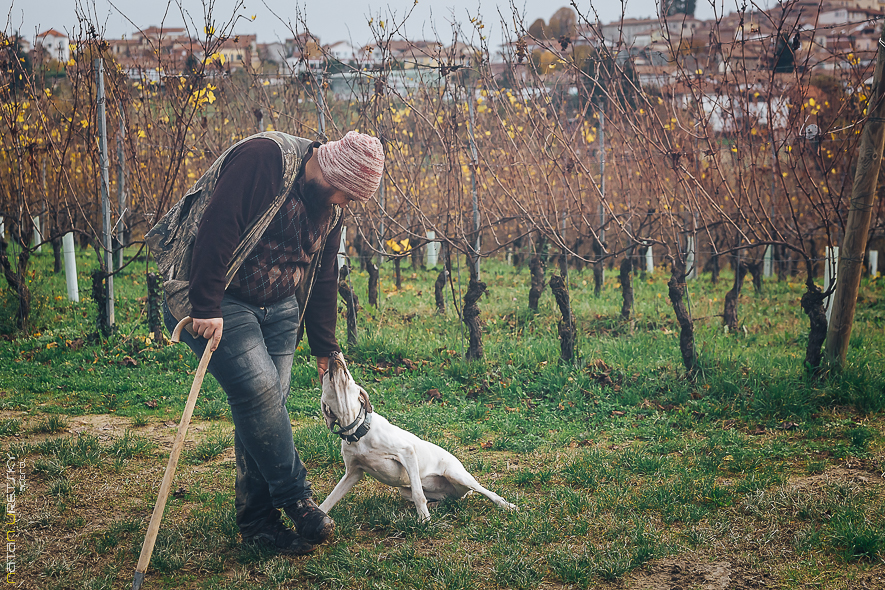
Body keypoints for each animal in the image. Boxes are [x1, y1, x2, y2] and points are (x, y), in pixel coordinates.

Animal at [318, 354, 516, 520]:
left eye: (347, 373)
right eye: (326, 372)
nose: (334, 353)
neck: (357, 431)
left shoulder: (407, 453)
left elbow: (418, 494)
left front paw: (424, 521)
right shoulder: (353, 473)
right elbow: (328, 501)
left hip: (457, 475)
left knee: (489, 493)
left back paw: (508, 506)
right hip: (406, 491)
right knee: (446, 499)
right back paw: (436, 505)